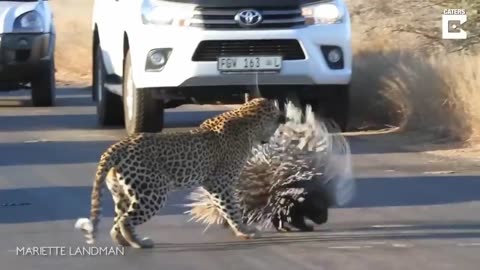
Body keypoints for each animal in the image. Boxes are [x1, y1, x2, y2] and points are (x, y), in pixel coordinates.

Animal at [74, 97, 284, 249]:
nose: (271, 138)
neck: (247, 118)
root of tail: (118, 146)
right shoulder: (220, 184)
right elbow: (232, 209)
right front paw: (244, 231)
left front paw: (242, 229)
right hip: (153, 193)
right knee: (126, 219)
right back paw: (139, 243)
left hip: (122, 193)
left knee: (118, 220)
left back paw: (123, 241)